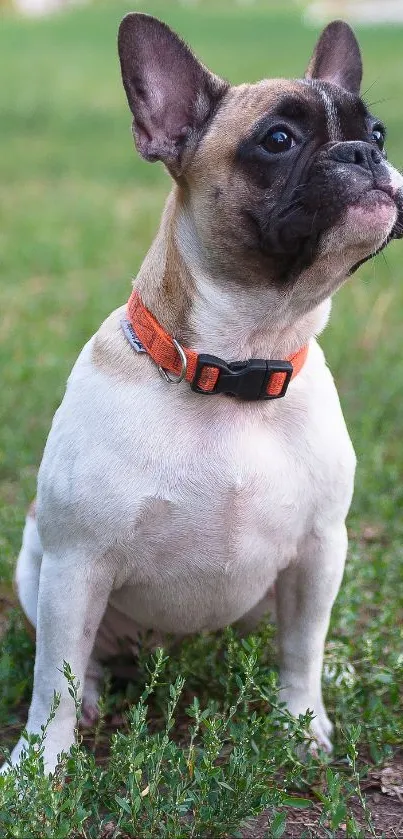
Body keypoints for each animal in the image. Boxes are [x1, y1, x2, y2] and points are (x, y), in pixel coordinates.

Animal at [3, 13, 403, 776]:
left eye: (377, 132)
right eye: (277, 139)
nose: (363, 155)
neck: (240, 360)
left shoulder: (319, 549)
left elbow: (301, 647)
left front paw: (301, 722)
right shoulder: (75, 563)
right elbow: (52, 682)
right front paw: (38, 767)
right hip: (38, 567)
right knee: (78, 659)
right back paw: (93, 695)